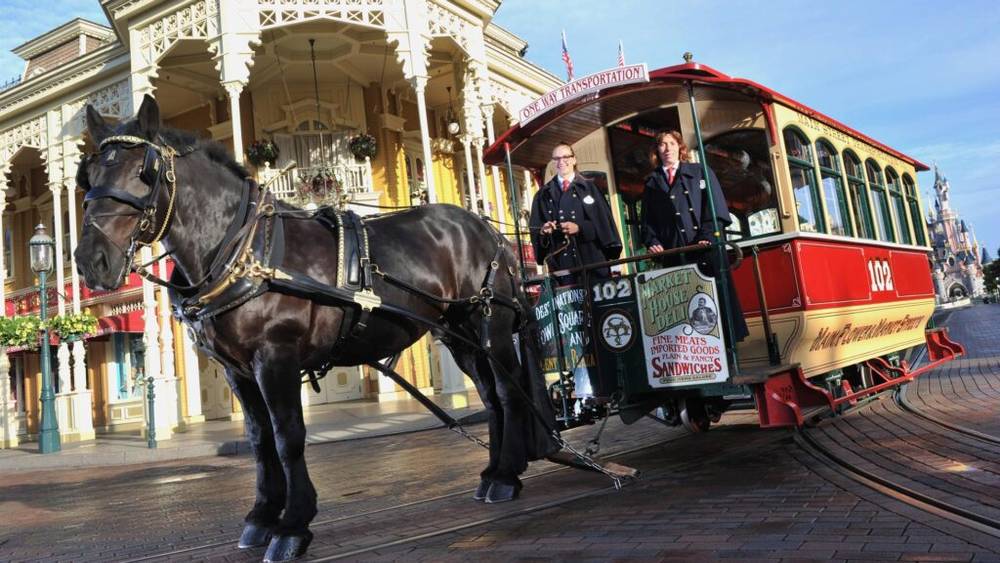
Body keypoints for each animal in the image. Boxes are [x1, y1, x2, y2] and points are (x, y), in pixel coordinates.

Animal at [76, 94, 564, 560]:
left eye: (145, 172)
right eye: (88, 175)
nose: (90, 260)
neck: (240, 249)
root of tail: (485, 228)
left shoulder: (276, 357)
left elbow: (287, 436)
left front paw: (292, 525)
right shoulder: (237, 370)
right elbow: (259, 440)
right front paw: (261, 517)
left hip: (489, 327)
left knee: (506, 391)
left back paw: (505, 476)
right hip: (457, 335)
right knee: (490, 394)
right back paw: (495, 472)